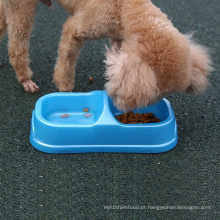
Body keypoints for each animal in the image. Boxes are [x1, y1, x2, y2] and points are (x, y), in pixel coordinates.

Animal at [0, 0, 213, 111]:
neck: (126, 6)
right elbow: (66, 60)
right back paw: (25, 79)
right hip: (21, 6)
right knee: (17, 42)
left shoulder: (119, 38)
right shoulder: (77, 28)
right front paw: (65, 89)